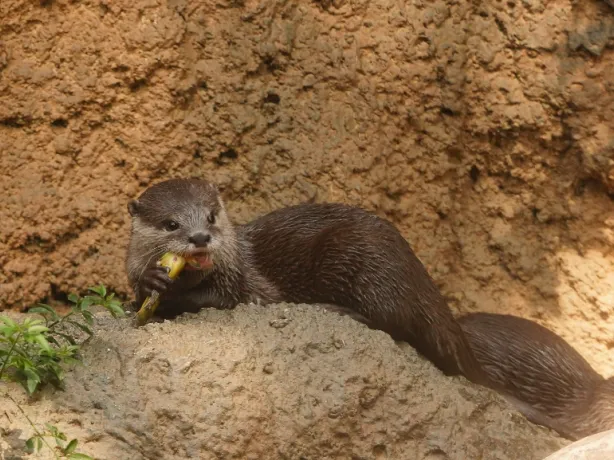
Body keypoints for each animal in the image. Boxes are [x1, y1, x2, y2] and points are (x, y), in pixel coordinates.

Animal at [126, 177, 490, 384]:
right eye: (172, 224)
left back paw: (337, 310)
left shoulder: (246, 284)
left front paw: (172, 295)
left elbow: (229, 298)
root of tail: (419, 272)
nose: (201, 237)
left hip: (364, 255)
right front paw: (151, 281)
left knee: (396, 321)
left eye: (211, 216)